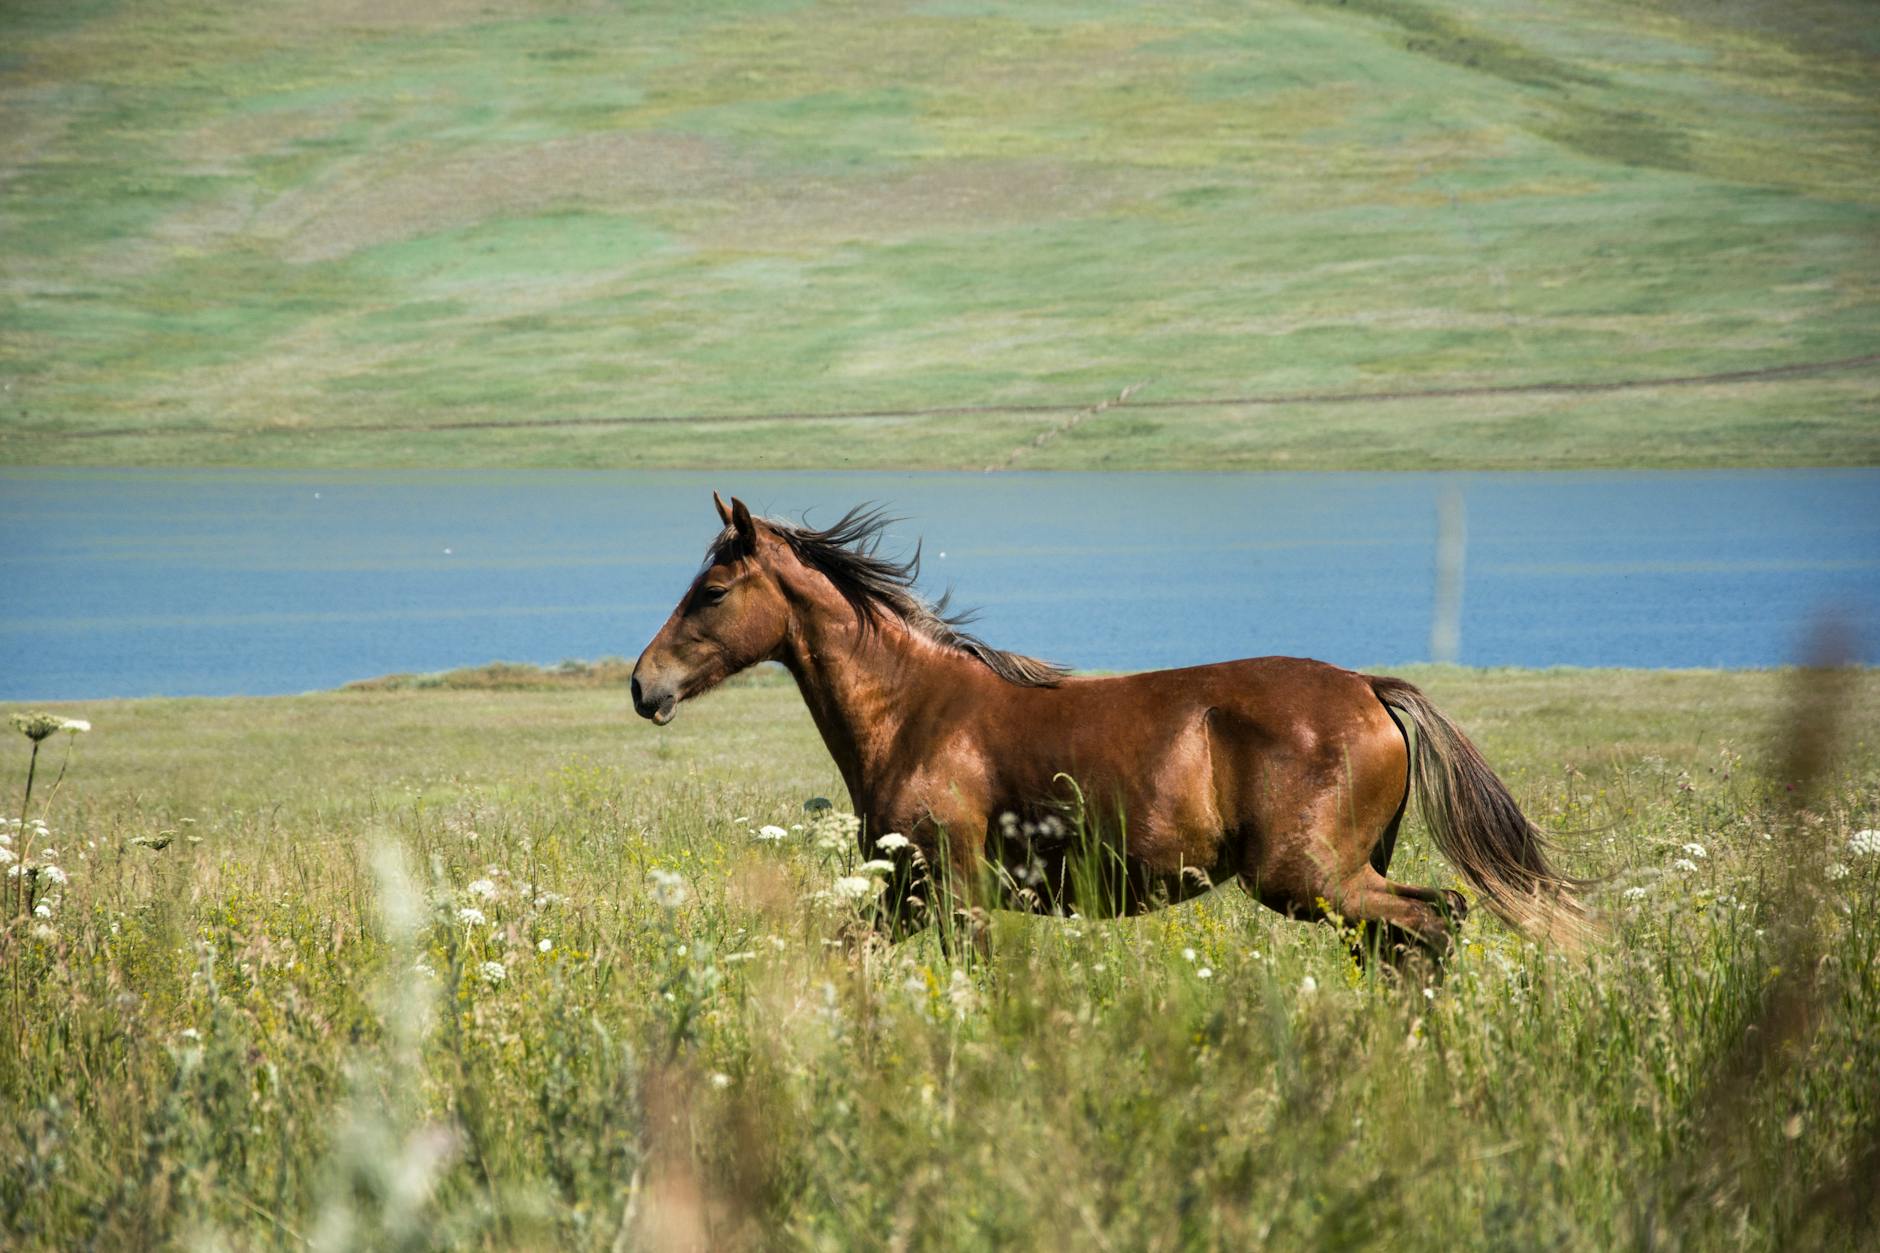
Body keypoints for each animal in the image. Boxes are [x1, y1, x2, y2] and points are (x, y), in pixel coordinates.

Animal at [631, 494, 1588, 963]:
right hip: (1342, 880)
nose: (644, 685)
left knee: (1436, 921)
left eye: (711, 592)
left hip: (1309, 879)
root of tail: (1369, 689)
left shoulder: (955, 893)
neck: (915, 713)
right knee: (1408, 939)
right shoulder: (908, 895)